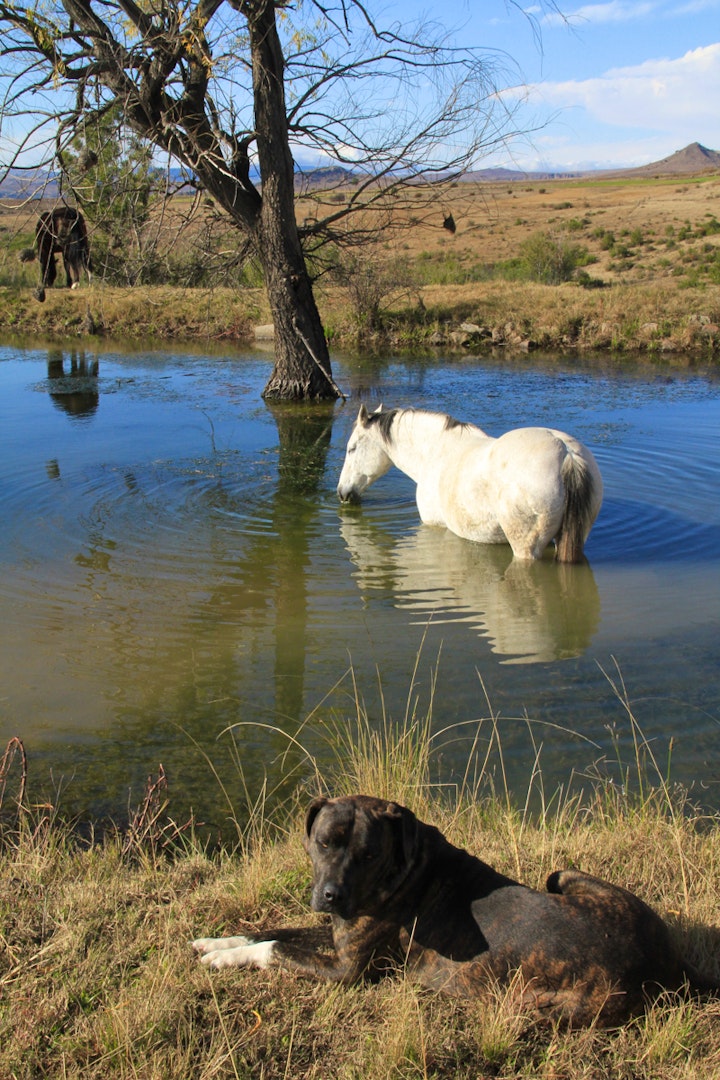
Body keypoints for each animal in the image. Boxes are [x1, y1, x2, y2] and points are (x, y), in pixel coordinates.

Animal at [191, 799, 716, 1023]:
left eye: (368, 854)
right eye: (324, 842)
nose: (332, 895)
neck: (405, 866)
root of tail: (669, 963)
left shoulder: (346, 971)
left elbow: (274, 949)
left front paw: (223, 959)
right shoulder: (336, 934)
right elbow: (268, 930)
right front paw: (217, 942)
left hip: (548, 1004)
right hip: (564, 875)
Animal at [336, 401, 604, 561]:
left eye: (351, 448)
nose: (342, 493)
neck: (435, 451)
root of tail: (566, 454)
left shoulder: (434, 526)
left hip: (526, 548)